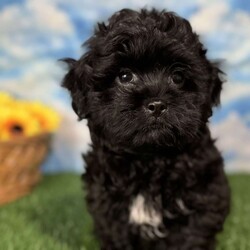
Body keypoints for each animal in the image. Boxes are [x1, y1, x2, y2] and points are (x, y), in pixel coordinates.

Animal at [62, 8, 230, 250]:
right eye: (125, 76)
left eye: (178, 77)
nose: (157, 105)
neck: (149, 160)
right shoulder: (109, 208)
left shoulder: (204, 196)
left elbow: (190, 236)